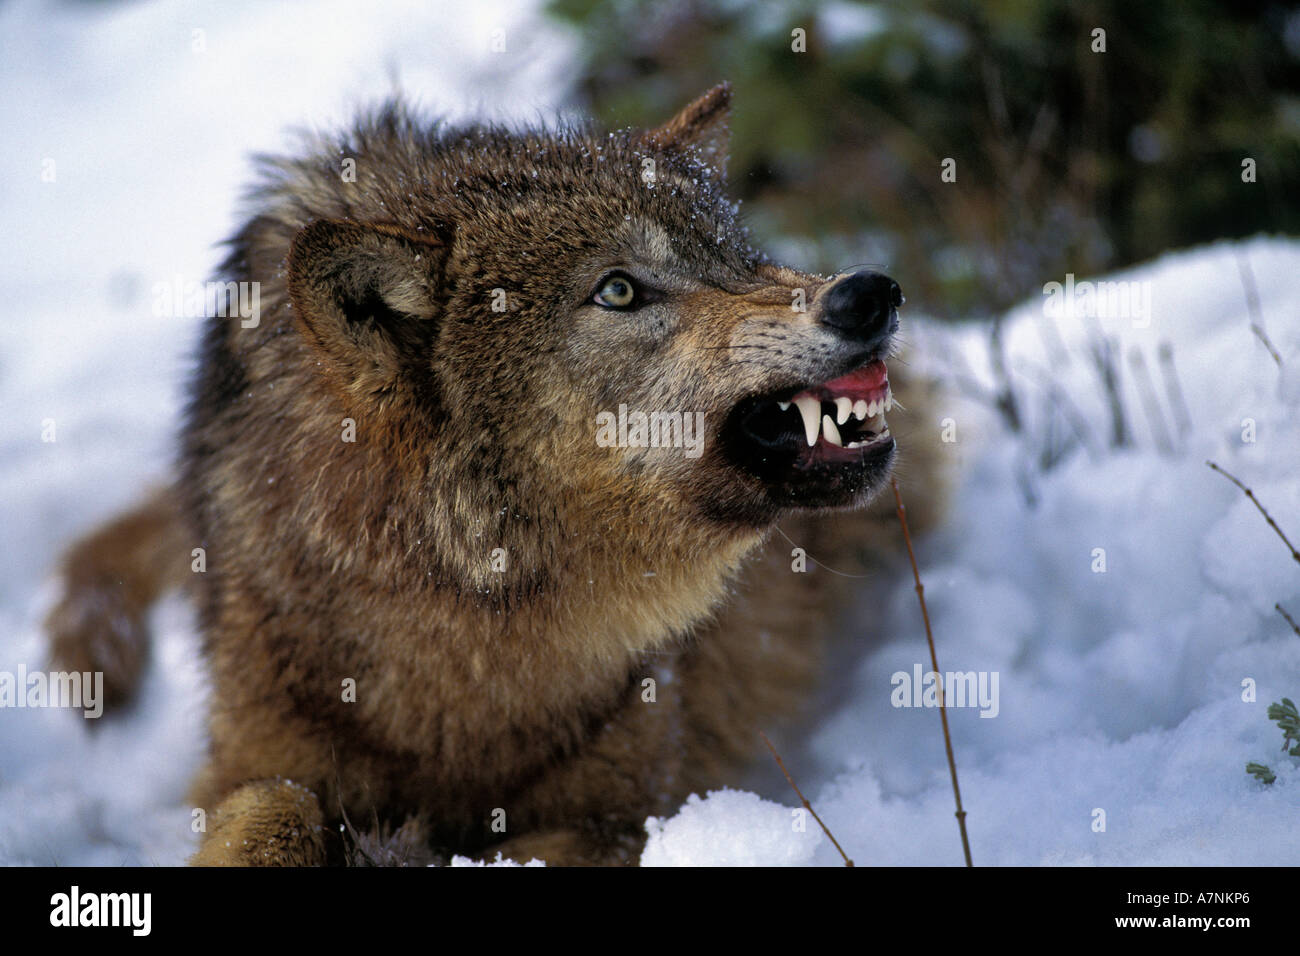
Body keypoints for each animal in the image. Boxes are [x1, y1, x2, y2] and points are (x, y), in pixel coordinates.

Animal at [45, 84, 944, 865]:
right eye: (619, 290)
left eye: (742, 257)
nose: (868, 292)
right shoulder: (251, 757)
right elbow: (280, 804)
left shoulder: (625, 803)